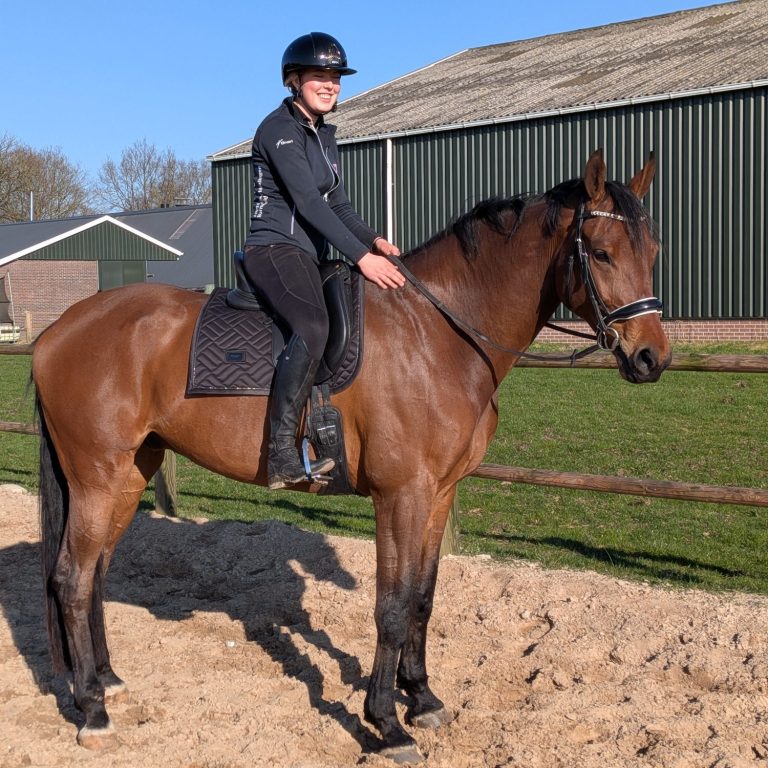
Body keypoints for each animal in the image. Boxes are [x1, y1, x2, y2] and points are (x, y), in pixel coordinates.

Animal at [33, 149, 670, 762]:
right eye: (603, 253)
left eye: (654, 251)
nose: (652, 359)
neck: (438, 334)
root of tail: (57, 331)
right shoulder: (400, 495)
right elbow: (391, 607)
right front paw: (387, 724)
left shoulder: (440, 493)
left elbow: (422, 599)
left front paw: (423, 697)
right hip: (96, 477)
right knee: (71, 578)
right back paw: (92, 710)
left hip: (130, 474)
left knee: (96, 573)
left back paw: (108, 681)